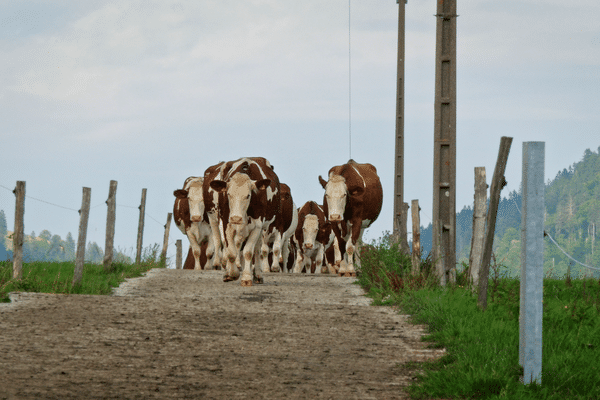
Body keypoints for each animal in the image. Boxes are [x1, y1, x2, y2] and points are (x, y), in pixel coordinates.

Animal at [206, 158, 282, 286]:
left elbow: (248, 252)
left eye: (248, 195)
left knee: (256, 250)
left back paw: (257, 275)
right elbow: (231, 252)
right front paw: (232, 274)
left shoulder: (257, 226)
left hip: (262, 229)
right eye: (228, 194)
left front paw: (246, 278)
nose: (236, 218)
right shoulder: (226, 224)